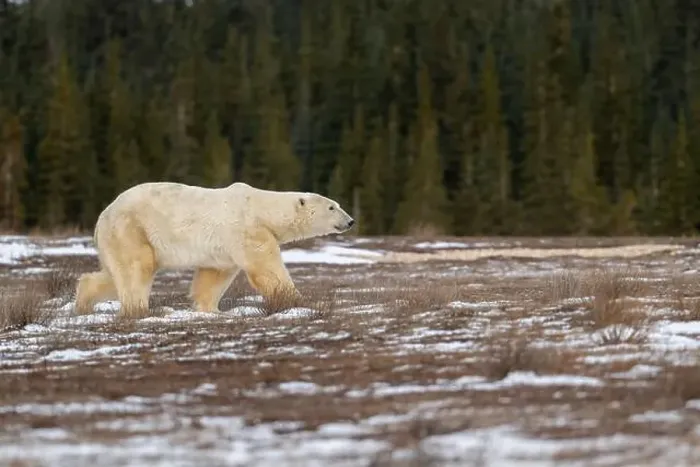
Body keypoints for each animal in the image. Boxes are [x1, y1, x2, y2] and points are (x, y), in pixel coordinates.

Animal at [74, 181, 355, 319]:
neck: (261, 207)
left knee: (110, 274)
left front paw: (209, 309)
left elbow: (214, 275)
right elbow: (266, 266)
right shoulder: (247, 229)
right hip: (131, 229)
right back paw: (139, 310)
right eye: (332, 207)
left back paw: (83, 303)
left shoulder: (223, 249)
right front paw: (295, 301)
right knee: (137, 267)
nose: (351, 221)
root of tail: (102, 217)